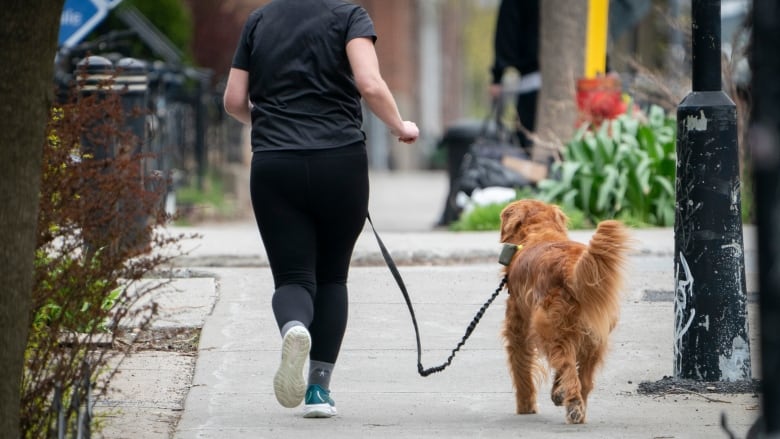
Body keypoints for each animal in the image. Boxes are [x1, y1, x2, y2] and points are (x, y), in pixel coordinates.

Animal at [500, 201, 628, 424]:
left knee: (568, 367)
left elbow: (521, 370)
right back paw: (576, 405)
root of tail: (571, 266)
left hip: (548, 327)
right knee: (582, 378)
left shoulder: (518, 329)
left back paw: (573, 405)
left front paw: (526, 406)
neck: (540, 232)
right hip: (593, 337)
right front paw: (558, 391)